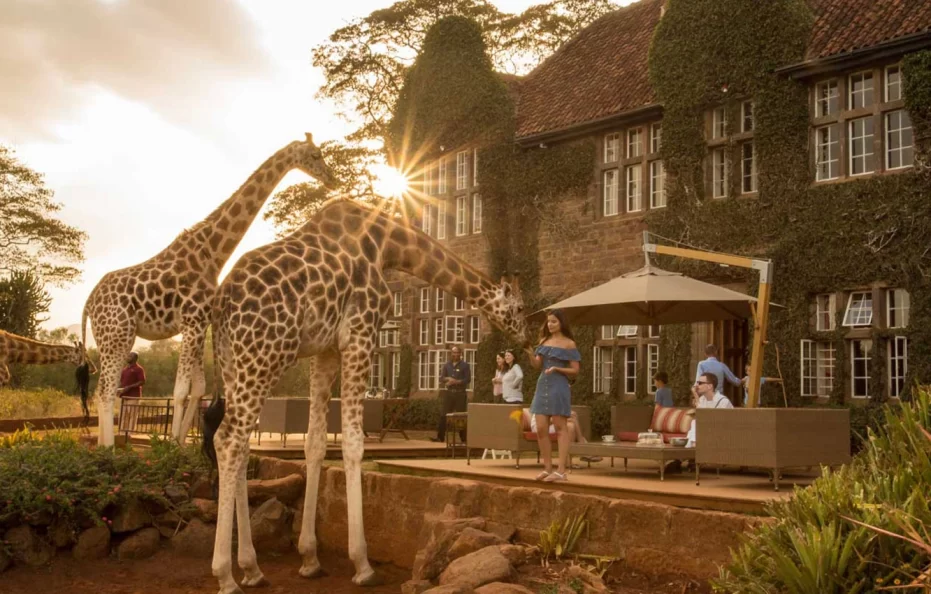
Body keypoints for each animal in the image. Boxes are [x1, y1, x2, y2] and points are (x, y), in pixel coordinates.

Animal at [82, 134, 335, 447]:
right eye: (315, 155)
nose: (332, 179)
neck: (212, 254)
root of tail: (88, 303)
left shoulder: (200, 323)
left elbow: (198, 387)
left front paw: (181, 443)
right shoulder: (191, 321)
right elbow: (180, 389)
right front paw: (170, 445)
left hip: (115, 336)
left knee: (103, 389)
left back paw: (104, 446)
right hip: (116, 334)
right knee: (105, 389)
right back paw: (109, 448)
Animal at [203, 198, 531, 593]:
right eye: (519, 308)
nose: (528, 338)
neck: (388, 247)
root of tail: (221, 303)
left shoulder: (326, 350)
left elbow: (315, 444)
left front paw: (310, 558)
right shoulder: (360, 335)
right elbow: (353, 443)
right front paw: (362, 563)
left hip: (232, 363)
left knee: (238, 444)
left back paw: (251, 568)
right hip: (265, 355)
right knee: (229, 440)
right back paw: (225, 574)